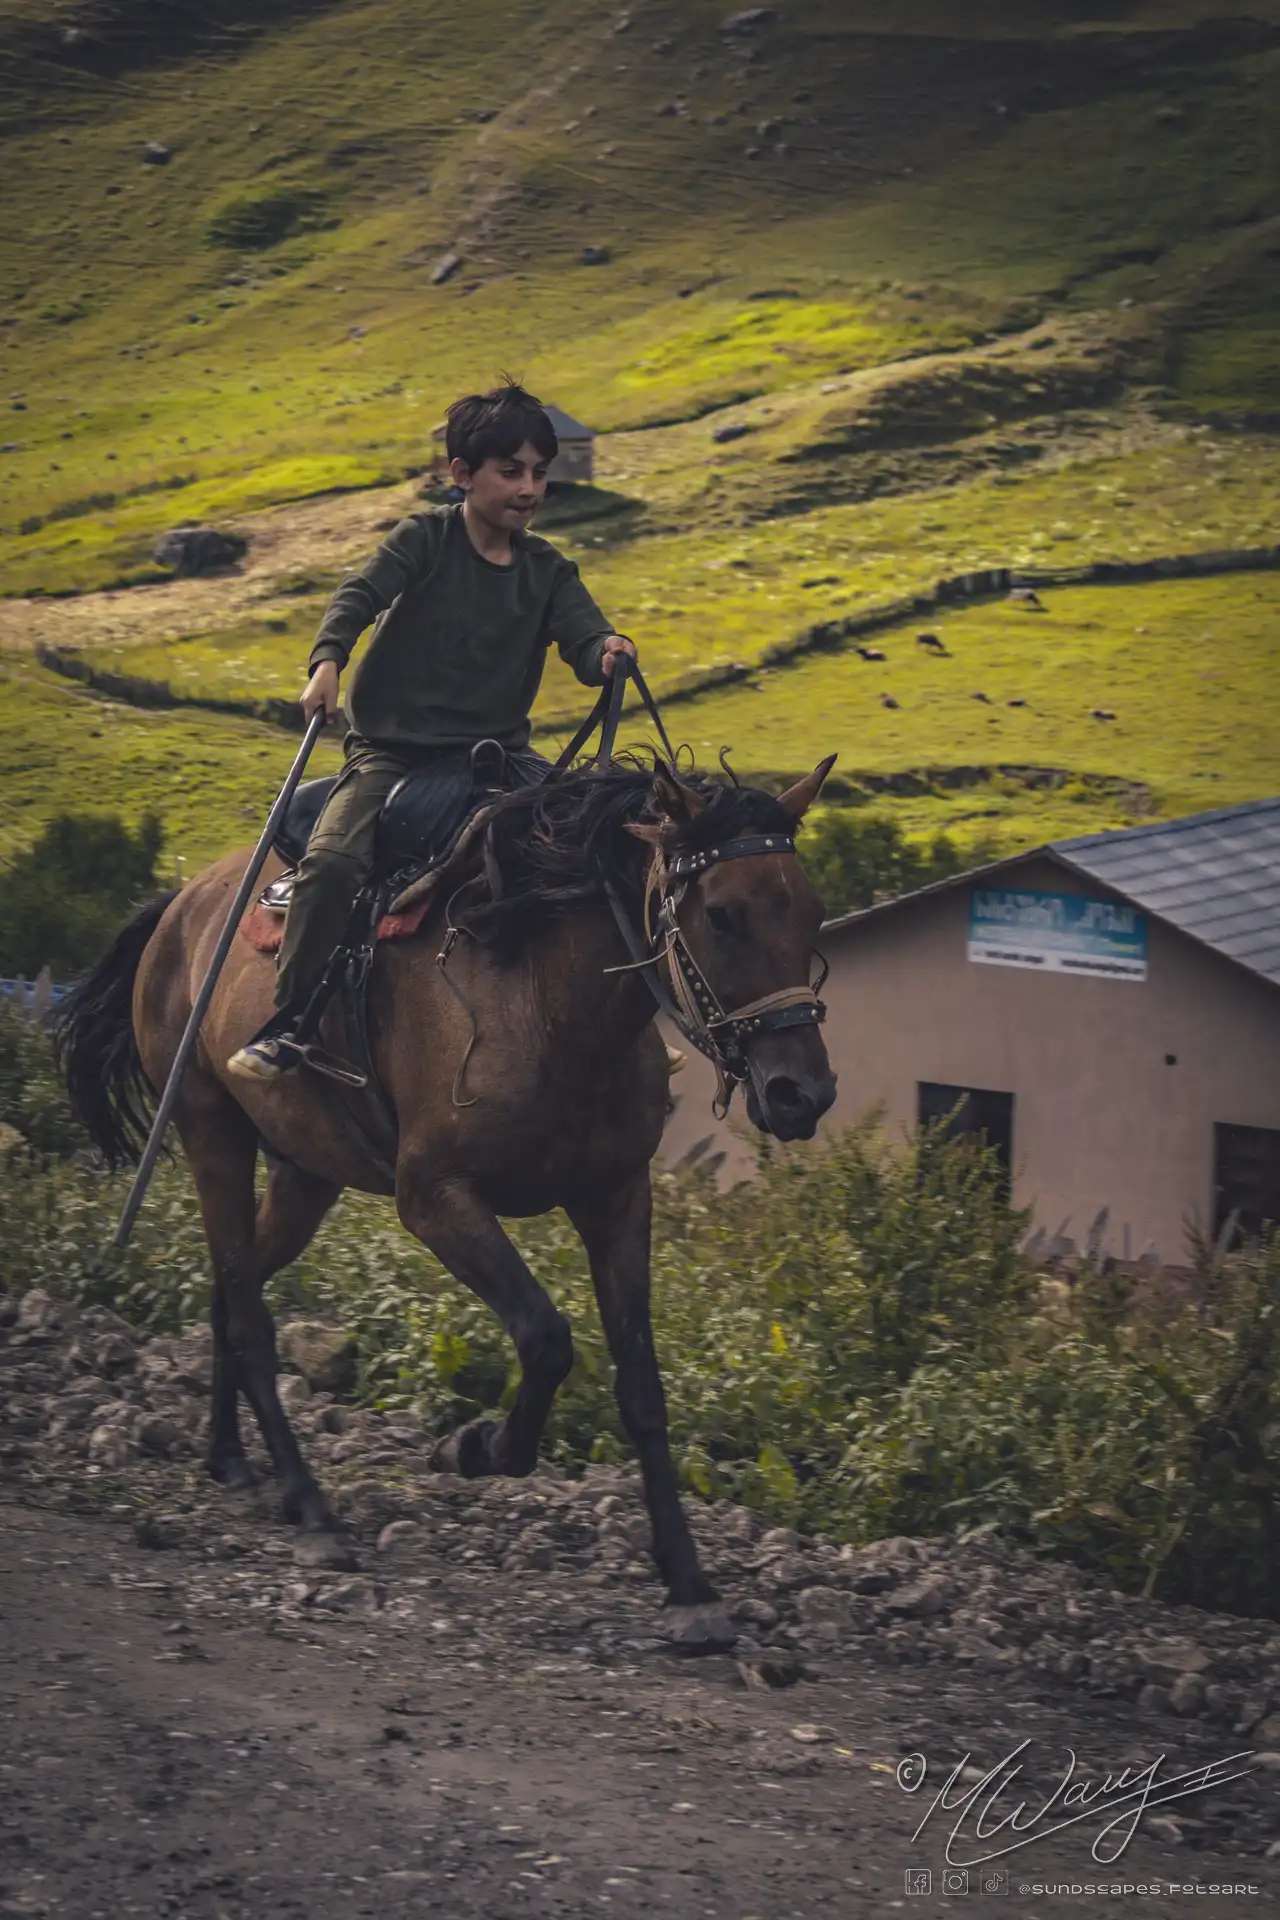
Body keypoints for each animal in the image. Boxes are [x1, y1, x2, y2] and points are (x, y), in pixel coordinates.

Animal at [59, 756, 836, 1643]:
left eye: (810, 909)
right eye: (722, 914)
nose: (801, 1093)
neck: (546, 996)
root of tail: (178, 908)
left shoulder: (615, 1197)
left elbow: (641, 1387)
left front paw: (689, 1582)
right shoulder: (434, 1199)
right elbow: (546, 1339)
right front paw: (474, 1447)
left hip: (304, 1174)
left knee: (232, 1292)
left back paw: (229, 1459)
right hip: (208, 1130)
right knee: (249, 1316)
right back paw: (311, 1509)